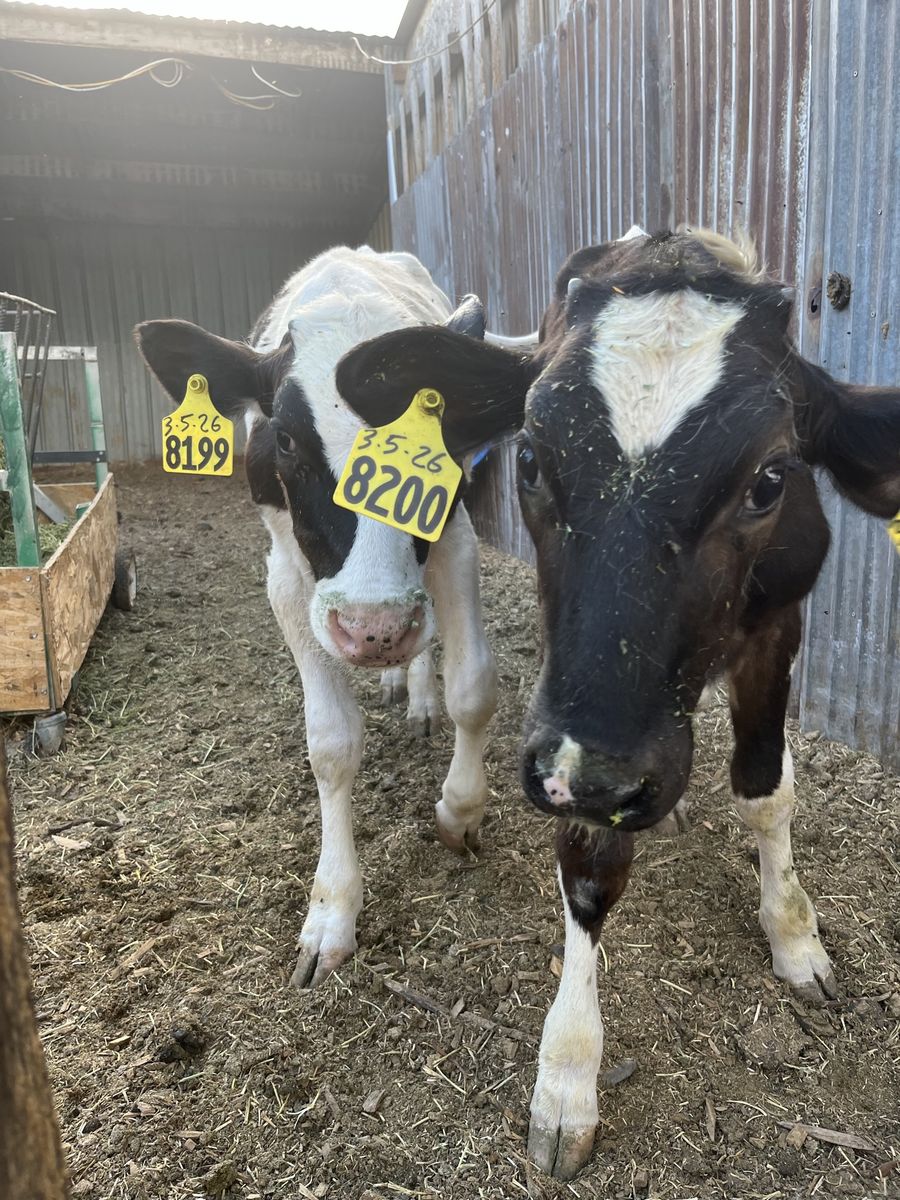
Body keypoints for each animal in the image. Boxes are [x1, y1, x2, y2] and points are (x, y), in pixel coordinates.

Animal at [135, 246, 500, 989]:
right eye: (287, 442)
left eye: (435, 445)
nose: (373, 629)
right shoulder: (286, 574)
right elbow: (331, 742)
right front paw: (333, 908)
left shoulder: (455, 539)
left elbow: (473, 687)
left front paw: (460, 807)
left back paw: (417, 691)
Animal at [334, 226, 900, 1178]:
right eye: (531, 458)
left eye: (769, 480)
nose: (606, 779)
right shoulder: (573, 730)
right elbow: (589, 868)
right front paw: (567, 1078)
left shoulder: (777, 626)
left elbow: (766, 789)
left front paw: (794, 934)